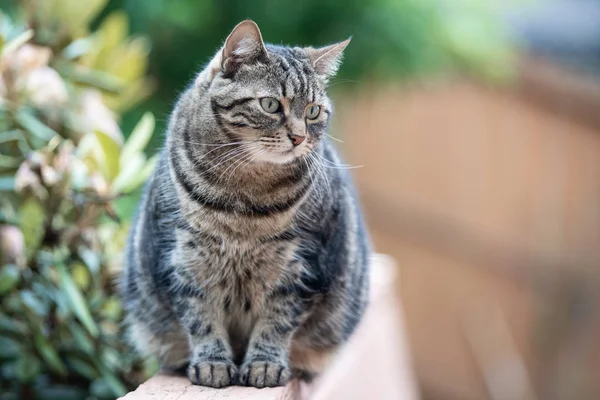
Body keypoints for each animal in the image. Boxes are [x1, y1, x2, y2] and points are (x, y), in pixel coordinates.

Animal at [122, 19, 370, 388]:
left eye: (313, 111)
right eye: (270, 105)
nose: (299, 137)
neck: (245, 199)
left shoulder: (299, 266)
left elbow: (277, 323)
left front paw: (264, 365)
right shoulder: (184, 257)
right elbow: (201, 318)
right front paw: (212, 363)